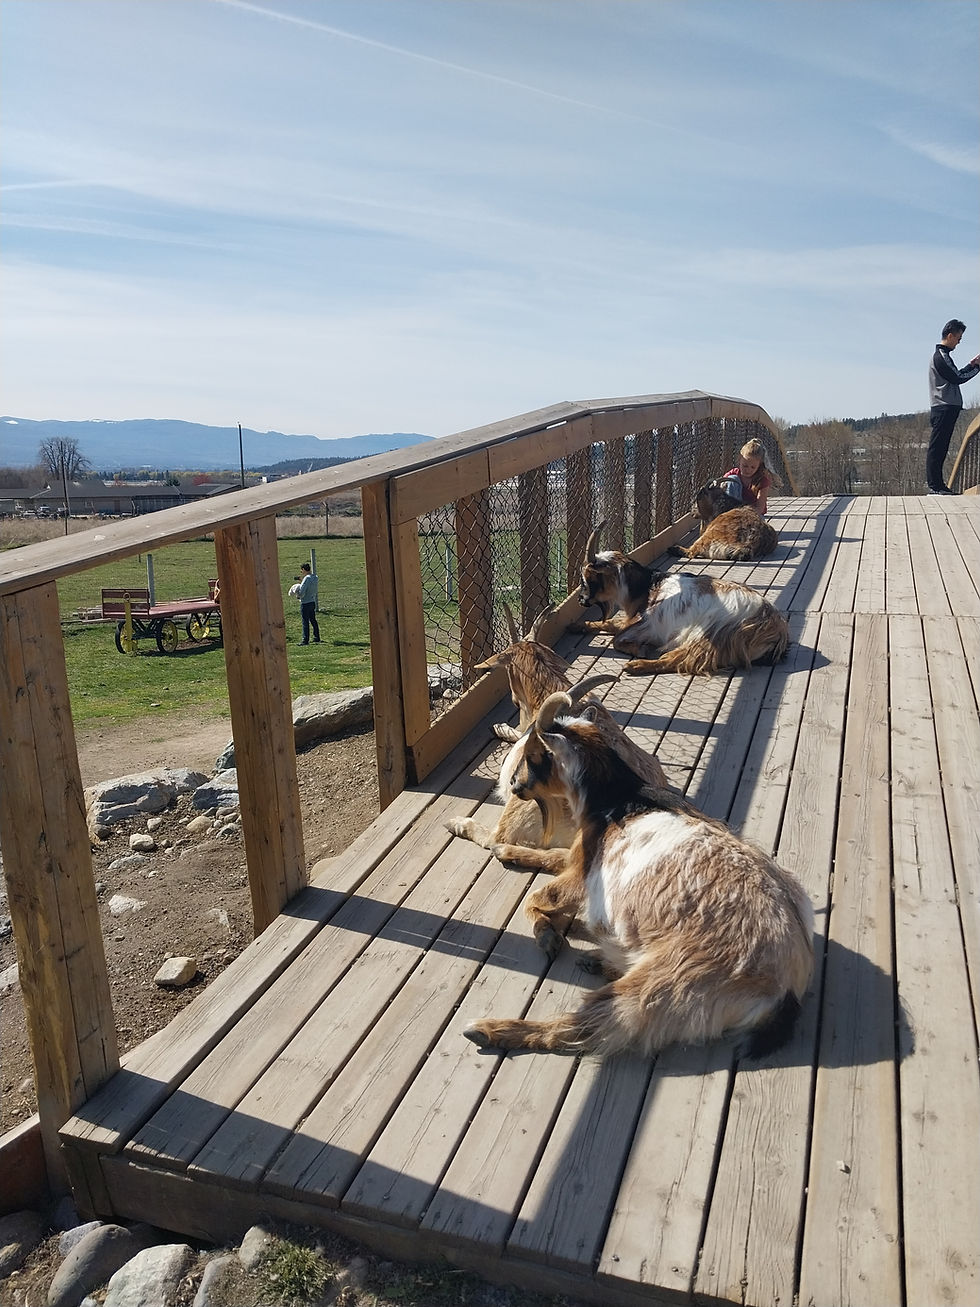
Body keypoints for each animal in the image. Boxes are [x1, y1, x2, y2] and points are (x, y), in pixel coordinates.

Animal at [464, 685, 814, 1058]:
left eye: (532, 754)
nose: (515, 785)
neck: (621, 797)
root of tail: (787, 988)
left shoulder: (583, 875)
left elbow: (538, 896)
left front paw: (546, 934)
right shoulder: (579, 853)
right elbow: (554, 856)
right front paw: (508, 852)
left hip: (667, 983)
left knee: (582, 1029)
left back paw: (488, 1030)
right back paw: (600, 962)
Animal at [574, 522, 788, 676]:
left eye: (585, 580)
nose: (581, 601)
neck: (647, 586)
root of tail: (775, 626)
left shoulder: (649, 626)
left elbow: (617, 639)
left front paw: (640, 650)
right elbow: (611, 623)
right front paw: (579, 625)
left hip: (708, 636)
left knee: (675, 661)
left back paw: (637, 666)